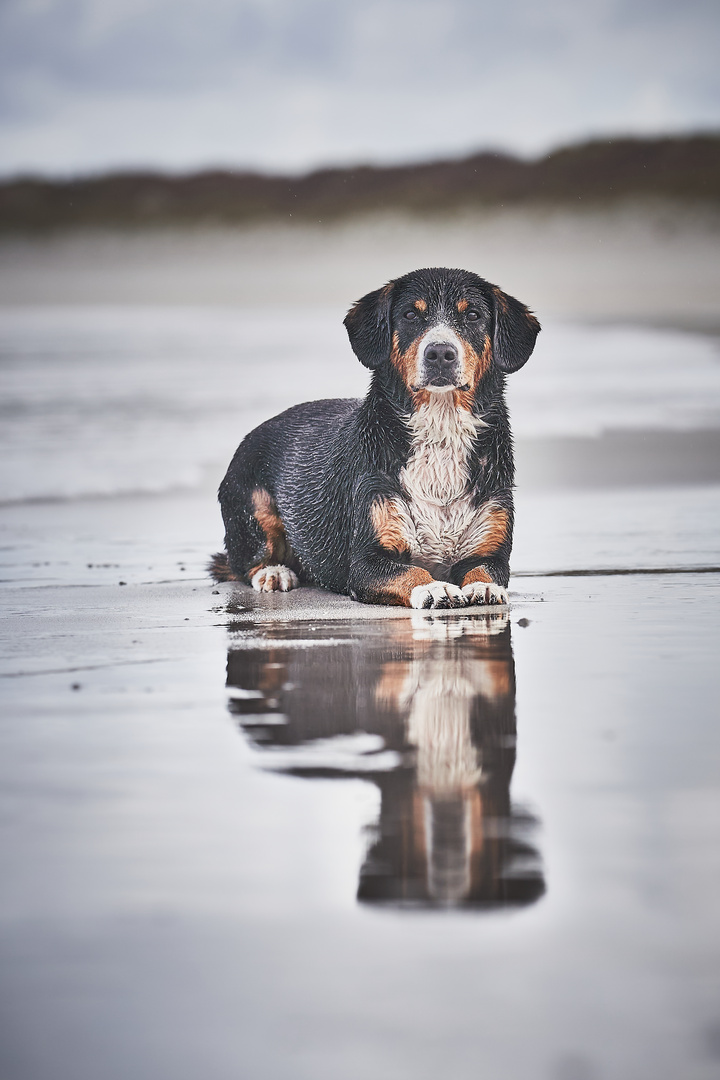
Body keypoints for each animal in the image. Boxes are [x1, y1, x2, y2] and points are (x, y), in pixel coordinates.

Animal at [212, 264, 539, 609]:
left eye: (473, 315)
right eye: (410, 314)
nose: (440, 353)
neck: (440, 427)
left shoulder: (491, 548)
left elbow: (485, 570)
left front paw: (483, 588)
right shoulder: (366, 561)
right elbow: (411, 572)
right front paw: (435, 587)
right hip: (253, 505)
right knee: (247, 561)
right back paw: (274, 572)